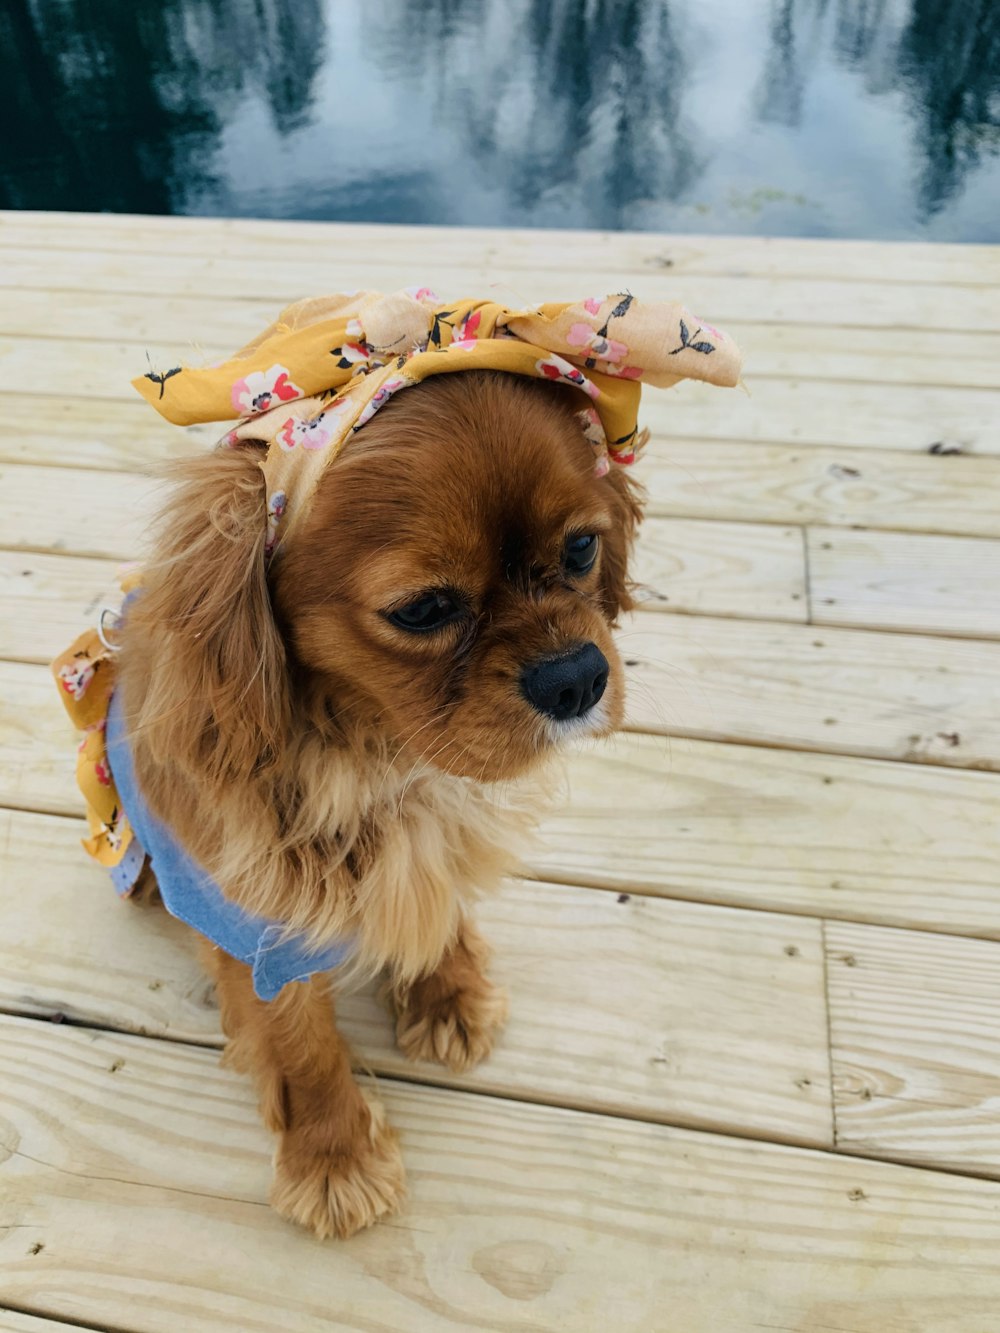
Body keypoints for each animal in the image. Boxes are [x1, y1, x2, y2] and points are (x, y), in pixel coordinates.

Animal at [115, 367, 642, 1237]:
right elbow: (299, 1041)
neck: (381, 754)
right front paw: (333, 1157)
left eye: (581, 549)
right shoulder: (258, 924)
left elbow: (438, 904)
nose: (577, 676)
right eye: (423, 610)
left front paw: (448, 991)